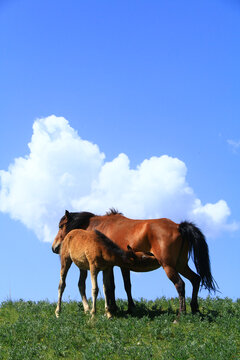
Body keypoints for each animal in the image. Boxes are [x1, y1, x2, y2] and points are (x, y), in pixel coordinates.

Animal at [52, 210, 218, 314]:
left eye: (61, 226)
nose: (55, 247)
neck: (99, 227)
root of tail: (179, 226)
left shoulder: (113, 265)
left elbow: (111, 287)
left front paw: (114, 308)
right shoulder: (120, 265)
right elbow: (124, 286)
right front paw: (128, 307)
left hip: (169, 266)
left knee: (180, 284)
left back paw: (181, 313)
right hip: (181, 265)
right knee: (196, 279)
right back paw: (194, 308)